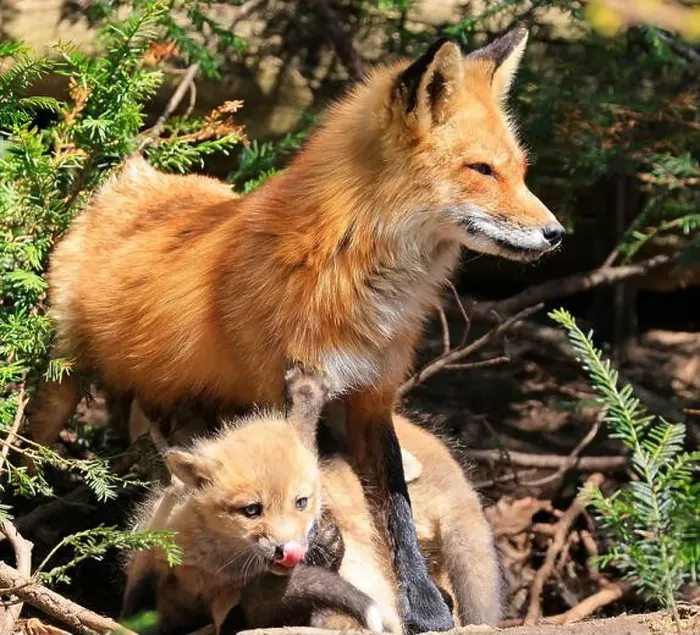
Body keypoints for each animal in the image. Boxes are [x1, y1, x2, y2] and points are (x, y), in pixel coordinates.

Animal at [31, 25, 561, 632]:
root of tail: (138, 176)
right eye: (482, 170)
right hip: (62, 385)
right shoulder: (281, 386)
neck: (357, 280)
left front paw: (425, 606)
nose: (557, 234)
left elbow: (396, 510)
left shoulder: (372, 397)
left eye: (520, 171)